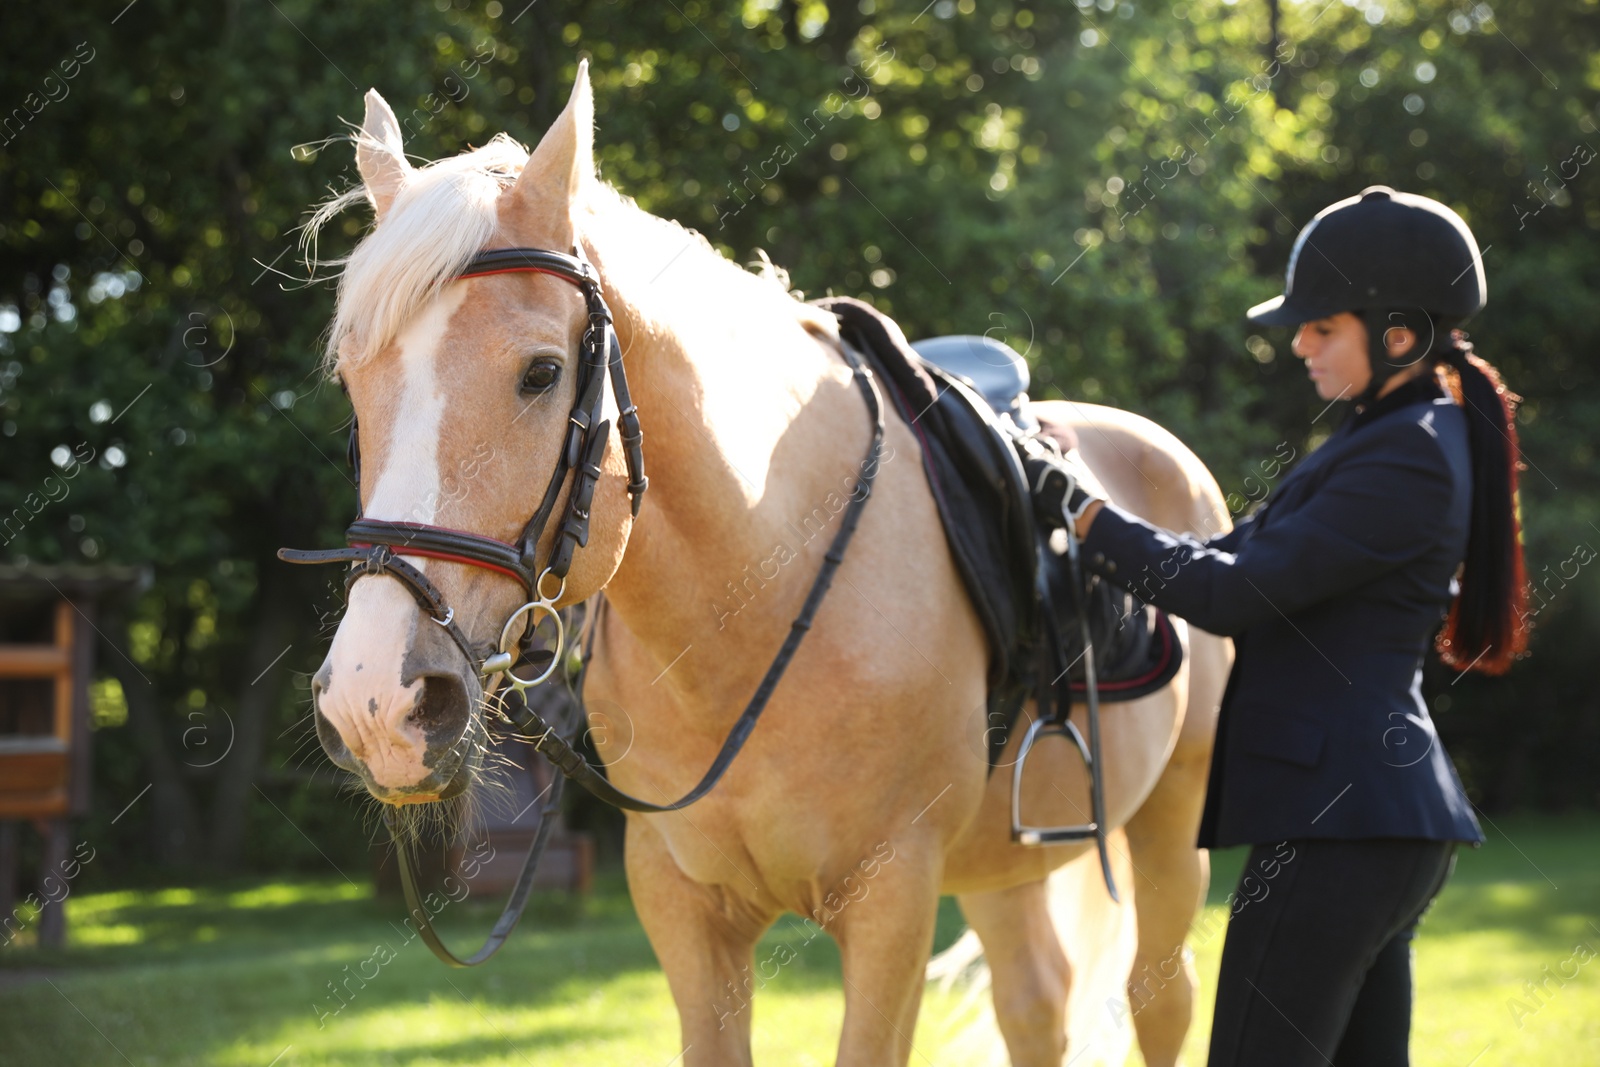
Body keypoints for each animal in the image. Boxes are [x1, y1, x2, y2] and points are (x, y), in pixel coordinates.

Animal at [305, 66, 1228, 1067]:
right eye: (352, 383)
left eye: (541, 373)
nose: (375, 701)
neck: (752, 602)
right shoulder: (684, 909)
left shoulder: (893, 900)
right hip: (1001, 864)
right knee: (1038, 1001)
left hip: (1170, 826)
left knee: (1159, 997)